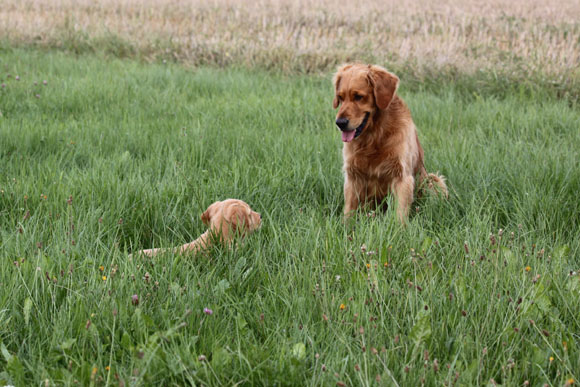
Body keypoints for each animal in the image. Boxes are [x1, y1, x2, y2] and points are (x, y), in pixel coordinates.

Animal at [330, 63, 448, 221]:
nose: (340, 123)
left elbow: (399, 214)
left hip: (433, 179)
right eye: (340, 97)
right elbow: (349, 211)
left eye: (359, 97)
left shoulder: (402, 176)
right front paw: (345, 226)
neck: (374, 135)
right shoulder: (353, 175)